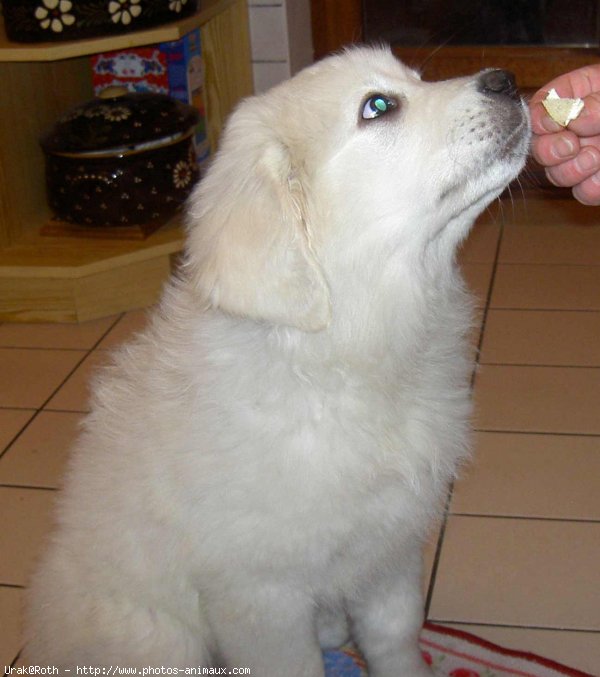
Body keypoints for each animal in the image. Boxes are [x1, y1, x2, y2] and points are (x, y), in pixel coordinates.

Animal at [23, 45, 528, 672]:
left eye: (414, 80)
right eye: (377, 106)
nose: (507, 80)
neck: (344, 361)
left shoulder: (389, 548)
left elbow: (395, 637)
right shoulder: (263, 596)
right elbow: (296, 663)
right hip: (164, 639)